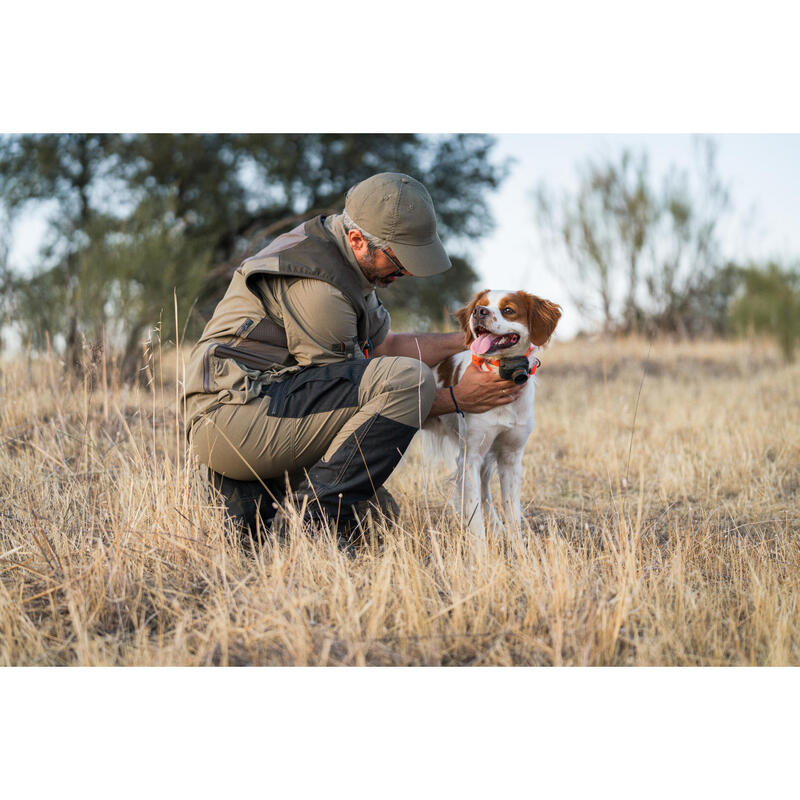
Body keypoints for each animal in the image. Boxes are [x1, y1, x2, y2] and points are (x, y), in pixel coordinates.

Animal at [424, 290, 564, 540]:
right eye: (479, 306)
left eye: (508, 310)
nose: (479, 312)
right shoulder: (469, 457)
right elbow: (475, 518)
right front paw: (480, 550)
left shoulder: (510, 457)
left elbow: (512, 513)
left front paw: (517, 546)